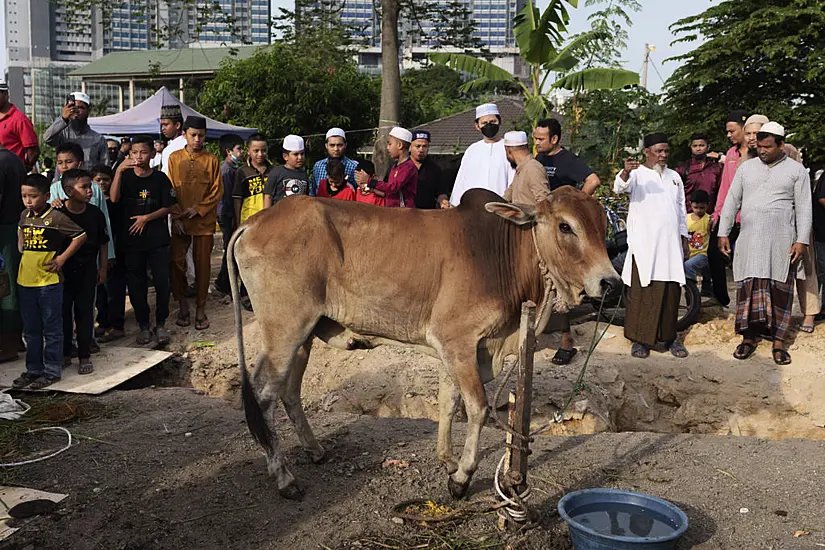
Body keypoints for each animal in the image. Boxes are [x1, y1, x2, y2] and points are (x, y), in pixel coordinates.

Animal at [225, 188, 616, 502]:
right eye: (565, 226)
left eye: (603, 226)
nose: (609, 282)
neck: (498, 254)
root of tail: (255, 222)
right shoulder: (457, 340)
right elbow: (477, 407)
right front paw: (461, 477)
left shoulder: (456, 349)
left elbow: (449, 402)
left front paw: (448, 460)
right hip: (284, 330)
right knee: (263, 397)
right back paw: (284, 478)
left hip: (303, 335)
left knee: (289, 391)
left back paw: (315, 450)